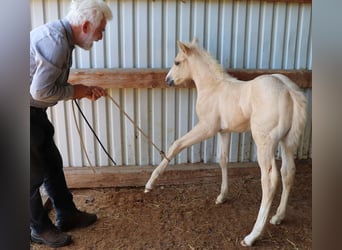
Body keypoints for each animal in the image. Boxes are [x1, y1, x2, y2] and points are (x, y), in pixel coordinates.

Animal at [144, 39, 308, 246]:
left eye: (177, 62)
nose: (168, 80)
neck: (213, 87)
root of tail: (289, 91)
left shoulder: (207, 127)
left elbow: (176, 145)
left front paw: (150, 184)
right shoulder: (224, 131)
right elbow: (222, 160)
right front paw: (222, 196)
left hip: (265, 143)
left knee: (270, 181)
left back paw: (252, 236)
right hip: (287, 141)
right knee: (288, 172)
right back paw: (278, 217)